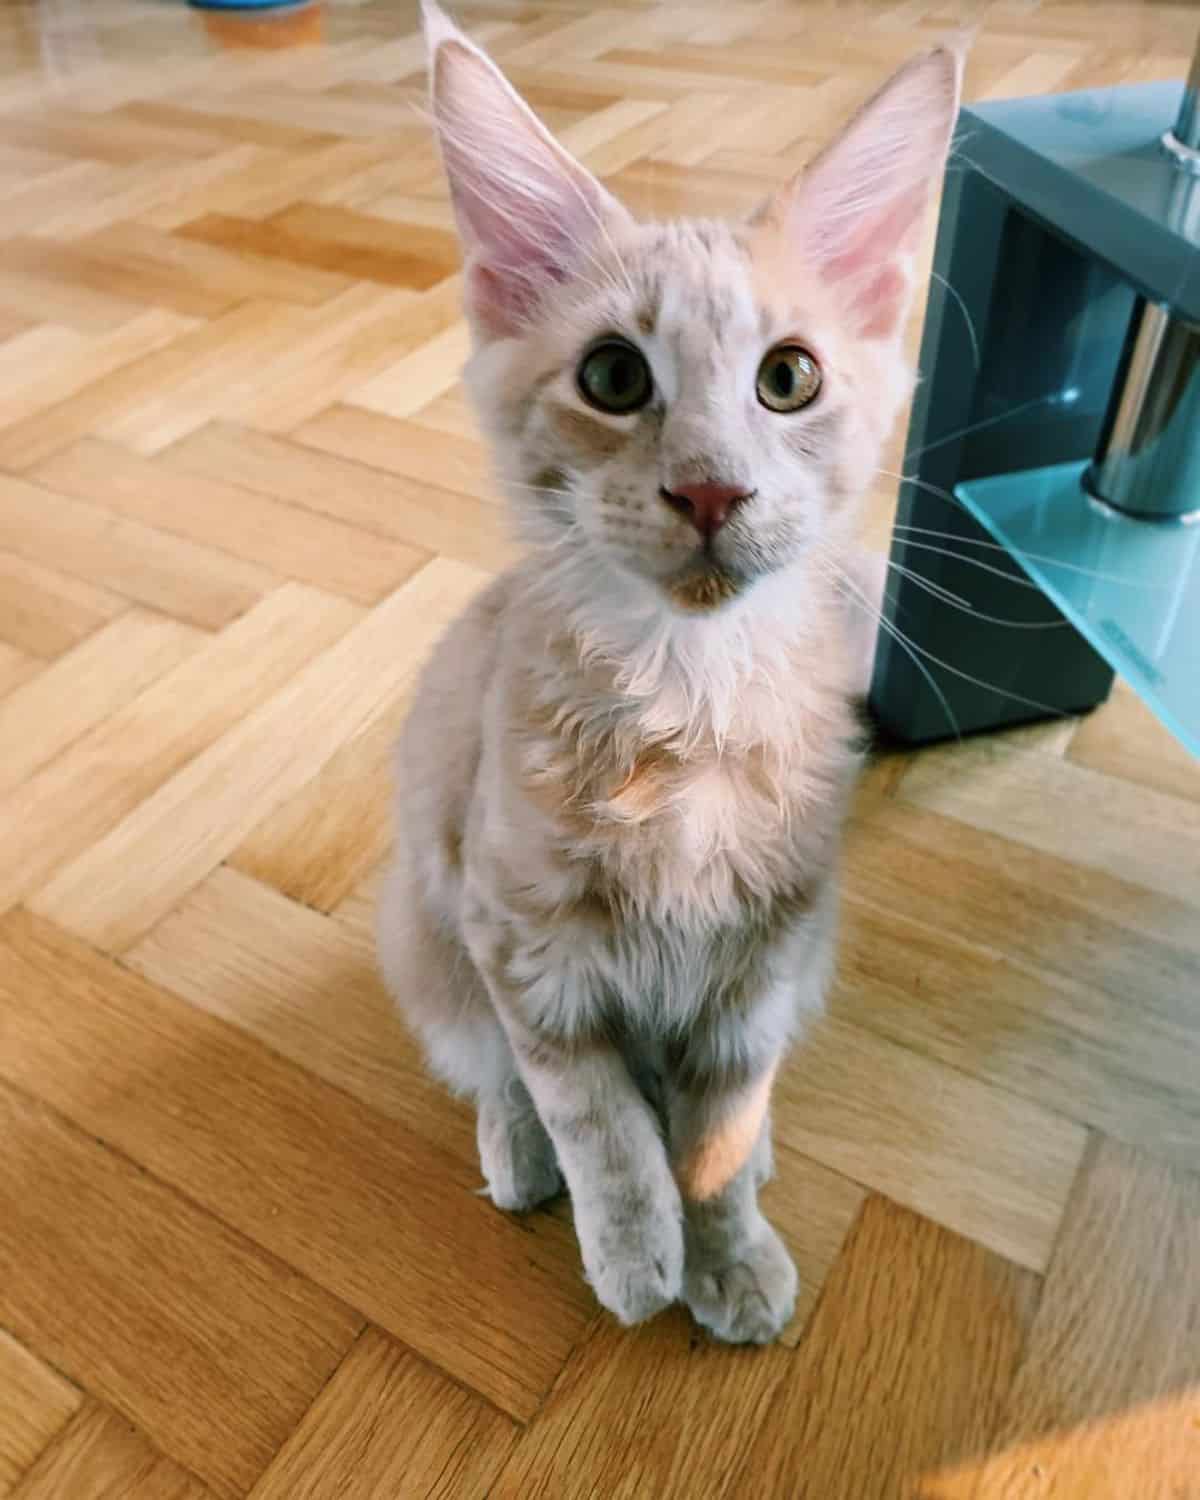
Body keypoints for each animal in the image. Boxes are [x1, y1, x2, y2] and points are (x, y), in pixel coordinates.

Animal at [379, 2, 960, 1350]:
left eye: (788, 377)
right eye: (613, 377)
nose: (709, 490)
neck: (686, 698)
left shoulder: (768, 954)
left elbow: (717, 1127)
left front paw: (728, 1248)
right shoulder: (518, 939)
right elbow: (597, 1118)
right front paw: (637, 1255)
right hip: (425, 934)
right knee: (487, 1071)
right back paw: (515, 1157)